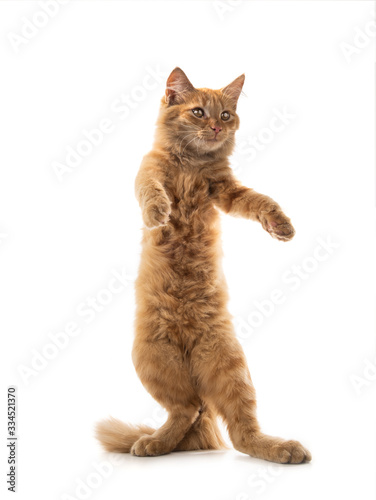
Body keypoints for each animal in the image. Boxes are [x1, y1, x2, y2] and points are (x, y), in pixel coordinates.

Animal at [96, 67, 312, 464]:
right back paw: (153, 443)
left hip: (230, 366)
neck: (193, 164)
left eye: (225, 115)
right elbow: (152, 190)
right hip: (152, 358)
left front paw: (281, 226)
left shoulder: (226, 191)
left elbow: (262, 201)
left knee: (236, 430)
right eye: (198, 112)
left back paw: (282, 448)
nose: (214, 127)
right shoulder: (149, 170)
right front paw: (159, 213)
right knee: (188, 409)